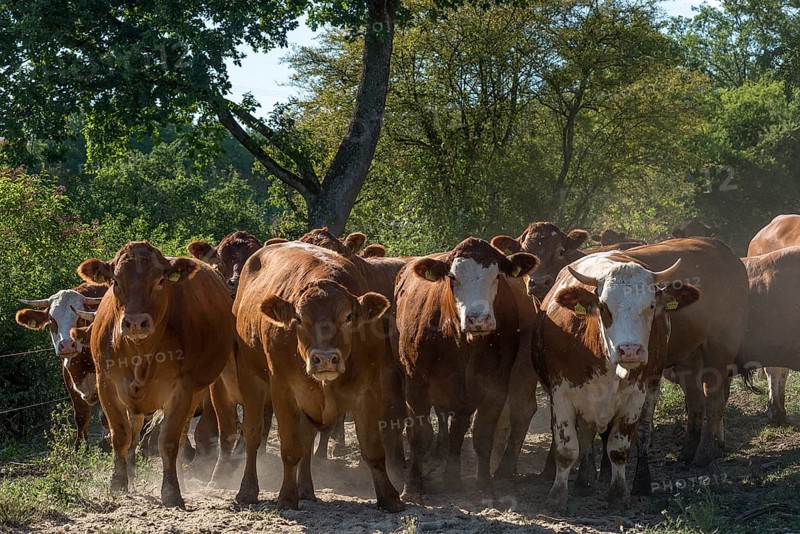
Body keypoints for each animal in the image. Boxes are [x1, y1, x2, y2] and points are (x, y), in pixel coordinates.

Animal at [15, 282, 106, 448]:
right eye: (52, 320)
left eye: (79, 319)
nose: (67, 345)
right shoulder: (69, 379)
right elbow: (81, 416)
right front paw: (81, 447)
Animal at [78, 241, 234, 507]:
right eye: (115, 281)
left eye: (160, 280)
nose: (135, 322)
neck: (140, 353)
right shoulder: (106, 384)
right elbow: (120, 435)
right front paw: (118, 483)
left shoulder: (182, 390)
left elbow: (168, 441)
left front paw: (171, 491)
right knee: (133, 431)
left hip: (197, 392)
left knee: (179, 438)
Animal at [232, 241, 404, 512]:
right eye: (299, 318)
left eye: (348, 317)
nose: (324, 359)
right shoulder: (283, 391)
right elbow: (290, 449)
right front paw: (286, 497)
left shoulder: (368, 390)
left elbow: (373, 450)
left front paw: (389, 497)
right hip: (249, 376)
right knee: (252, 434)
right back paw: (248, 490)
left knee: (307, 438)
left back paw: (306, 488)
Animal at [393, 238, 538, 499]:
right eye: (452, 277)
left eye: (497, 276)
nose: (478, 319)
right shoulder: (415, 385)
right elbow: (419, 436)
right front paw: (413, 485)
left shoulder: (495, 389)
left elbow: (482, 437)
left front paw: (484, 486)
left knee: (459, 430)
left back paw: (453, 479)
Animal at [539, 253, 699, 510]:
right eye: (603, 307)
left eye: (651, 306)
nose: (630, 350)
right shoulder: (561, 394)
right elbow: (566, 449)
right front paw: (557, 496)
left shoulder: (634, 397)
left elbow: (619, 449)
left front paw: (619, 494)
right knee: (585, 434)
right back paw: (585, 481)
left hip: (652, 387)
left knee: (643, 433)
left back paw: (641, 483)